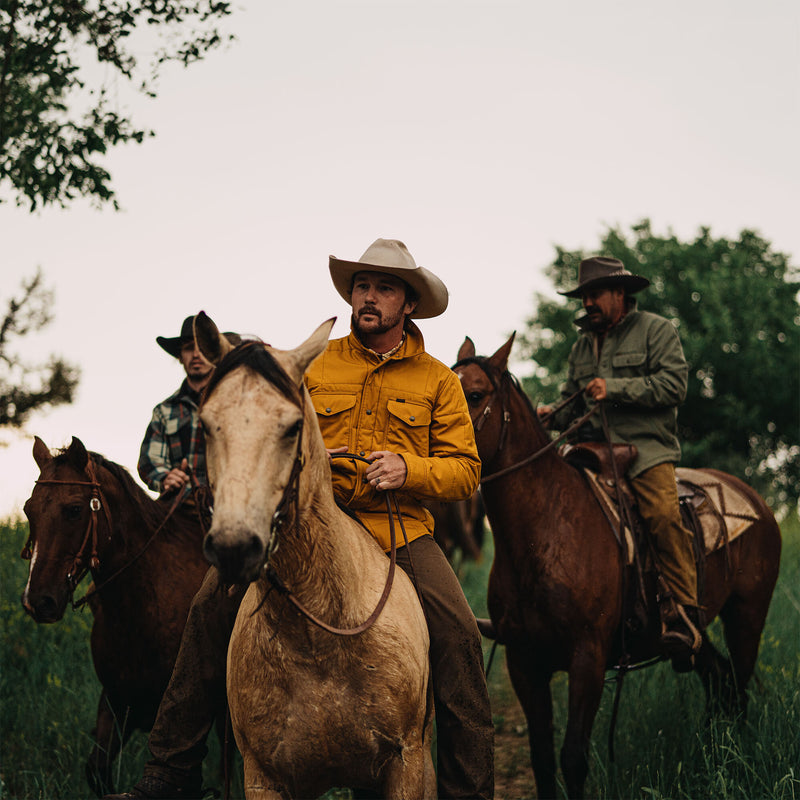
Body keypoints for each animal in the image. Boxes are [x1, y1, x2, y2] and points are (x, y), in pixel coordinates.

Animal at [194, 314, 434, 800]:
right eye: (207, 424)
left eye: (291, 427)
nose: (233, 546)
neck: (318, 636)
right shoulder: (265, 777)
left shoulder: (406, 761)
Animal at [454, 336, 784, 800]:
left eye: (476, 393)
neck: (546, 533)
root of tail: (757, 503)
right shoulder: (524, 662)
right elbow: (542, 759)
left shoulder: (587, 659)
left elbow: (573, 758)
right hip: (697, 634)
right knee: (718, 680)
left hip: (747, 616)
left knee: (737, 688)